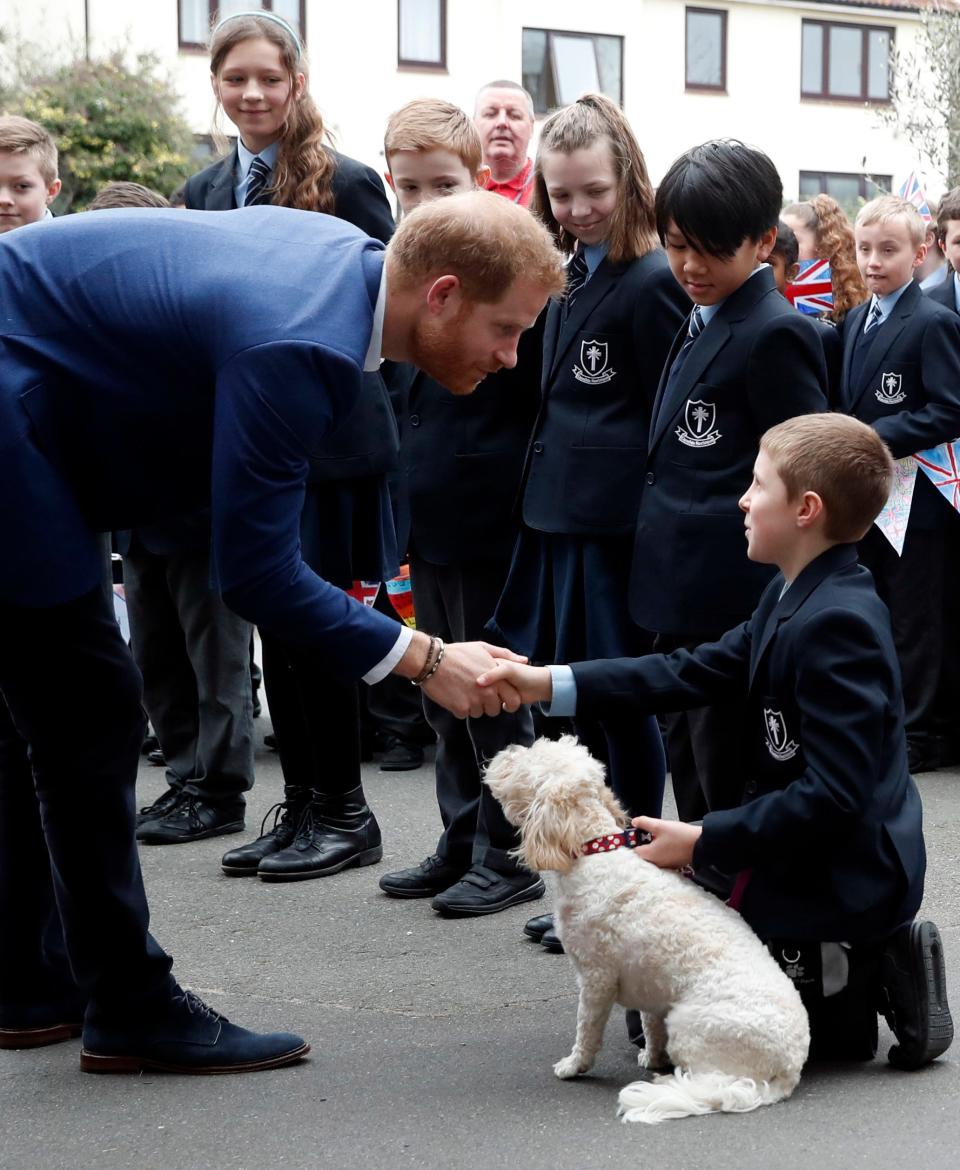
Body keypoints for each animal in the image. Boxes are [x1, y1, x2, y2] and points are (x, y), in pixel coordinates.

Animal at [486, 734, 809, 1127]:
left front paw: (574, 1066)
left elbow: (586, 1029)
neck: (597, 854)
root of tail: (790, 1068)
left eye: (530, 760)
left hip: (689, 1027)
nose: (504, 753)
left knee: (708, 1081)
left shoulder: (595, 979)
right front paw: (651, 1057)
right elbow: (649, 1024)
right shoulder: (650, 983)